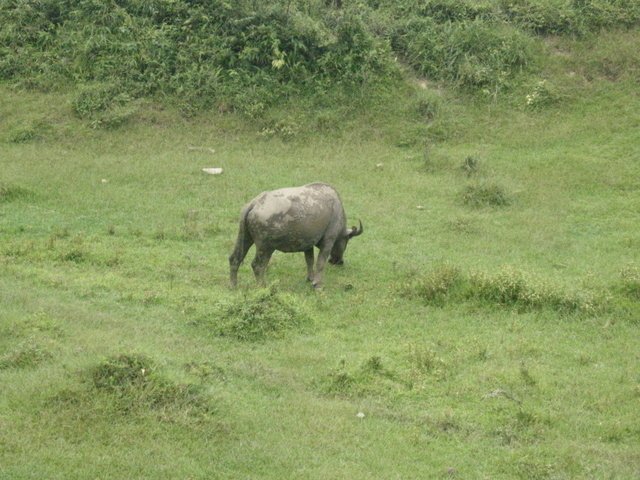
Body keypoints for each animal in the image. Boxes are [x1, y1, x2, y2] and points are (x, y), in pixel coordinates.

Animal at [229, 183, 360, 288]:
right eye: (346, 241)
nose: (339, 262)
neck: (336, 209)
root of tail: (255, 203)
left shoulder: (308, 244)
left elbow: (309, 261)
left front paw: (310, 278)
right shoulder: (328, 241)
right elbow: (320, 263)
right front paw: (317, 284)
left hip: (245, 238)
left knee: (234, 259)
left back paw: (233, 285)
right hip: (266, 248)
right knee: (257, 266)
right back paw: (263, 287)